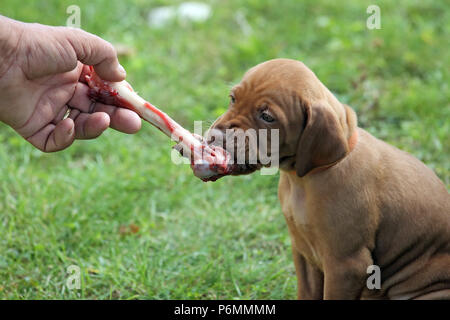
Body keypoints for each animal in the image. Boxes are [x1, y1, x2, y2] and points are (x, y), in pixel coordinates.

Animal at [210, 58, 450, 300]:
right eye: (233, 98)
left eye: (267, 117)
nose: (216, 137)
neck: (302, 179)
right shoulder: (303, 252)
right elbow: (306, 293)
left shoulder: (346, 265)